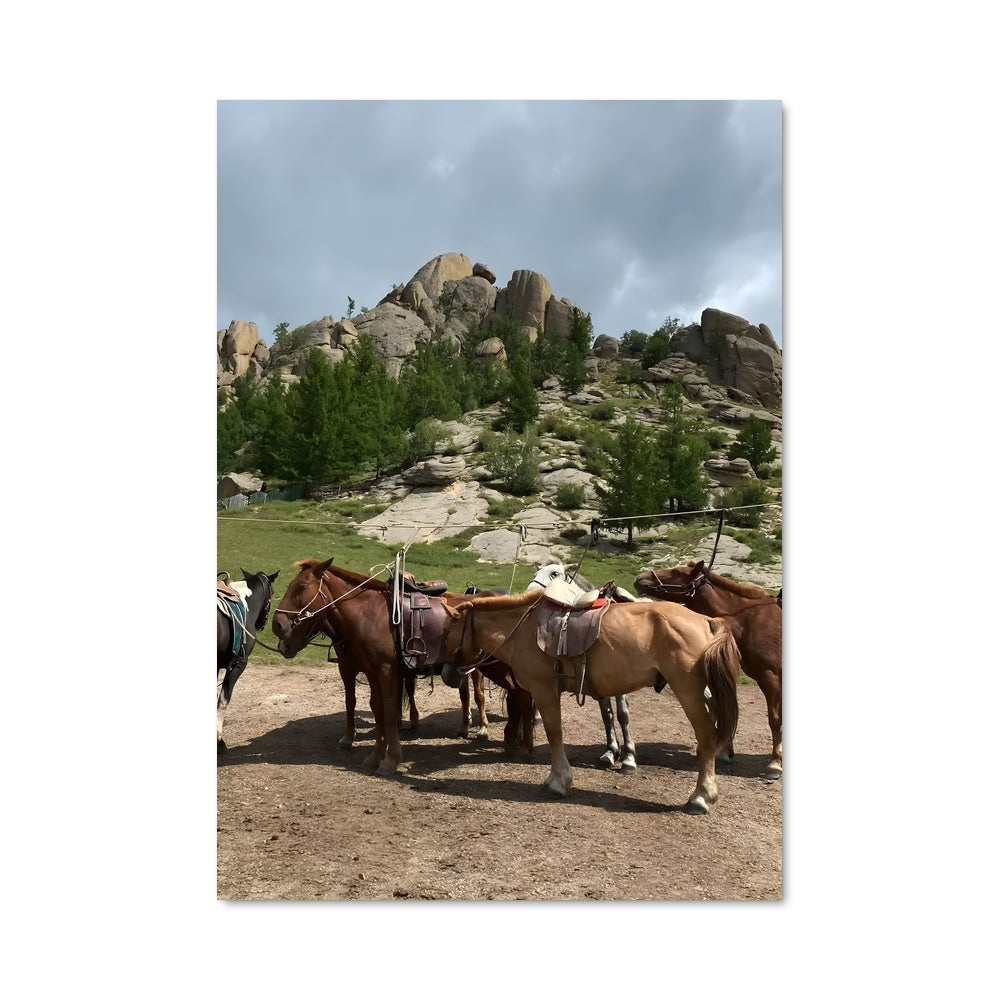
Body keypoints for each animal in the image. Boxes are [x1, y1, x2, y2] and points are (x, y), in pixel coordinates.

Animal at [271, 559, 535, 774]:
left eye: (301, 587)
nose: (277, 625)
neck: (371, 615)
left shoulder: (387, 673)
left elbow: (388, 714)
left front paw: (390, 760)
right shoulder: (372, 674)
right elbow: (377, 711)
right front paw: (375, 755)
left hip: (494, 668)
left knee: (519, 697)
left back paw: (515, 743)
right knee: (517, 697)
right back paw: (513, 741)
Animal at [441, 590, 742, 814]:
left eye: (445, 633)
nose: (446, 674)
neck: (523, 629)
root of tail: (708, 621)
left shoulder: (544, 691)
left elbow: (554, 733)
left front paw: (559, 781)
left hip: (689, 692)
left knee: (707, 735)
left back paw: (701, 797)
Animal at [527, 563, 645, 774]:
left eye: (555, 573)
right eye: (535, 573)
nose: (530, 592)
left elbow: (623, 716)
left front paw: (629, 758)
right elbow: (607, 715)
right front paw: (610, 752)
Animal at [633, 560, 782, 777]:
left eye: (676, 571)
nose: (639, 579)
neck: (752, 620)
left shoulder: (770, 678)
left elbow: (775, 719)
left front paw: (775, 763)